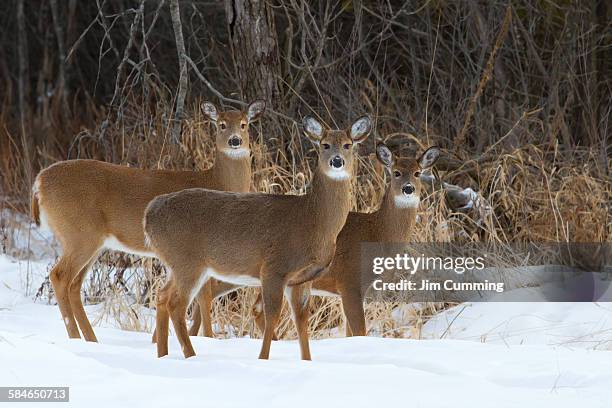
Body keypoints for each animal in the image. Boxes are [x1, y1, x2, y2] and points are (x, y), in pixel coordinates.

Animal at [30, 99, 266, 342]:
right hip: (79, 233)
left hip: (92, 241)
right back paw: (77, 337)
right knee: (59, 276)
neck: (216, 181)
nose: (235, 141)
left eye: (244, 124)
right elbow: (204, 296)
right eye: (221, 124)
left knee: (74, 284)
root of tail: (39, 182)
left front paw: (156, 339)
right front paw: (207, 338)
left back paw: (91, 339)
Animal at [145, 113, 372, 358]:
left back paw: (163, 354)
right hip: (188, 261)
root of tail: (149, 214)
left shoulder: (302, 278)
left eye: (348, 145)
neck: (312, 221)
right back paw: (190, 356)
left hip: (175, 264)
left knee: (161, 296)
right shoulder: (274, 267)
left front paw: (306, 361)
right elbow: (272, 316)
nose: (337, 161)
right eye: (325, 145)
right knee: (176, 303)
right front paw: (263, 358)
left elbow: (301, 321)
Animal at [189, 143, 438, 338]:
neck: (377, 233)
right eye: (395, 172)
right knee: (207, 294)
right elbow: (359, 331)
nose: (408, 189)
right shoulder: (349, 283)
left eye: (417, 172)